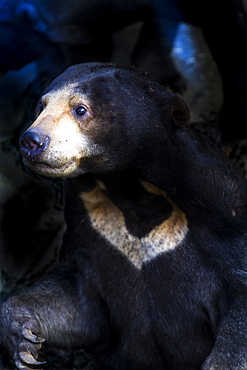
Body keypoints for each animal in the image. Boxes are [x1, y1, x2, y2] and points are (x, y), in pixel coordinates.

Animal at [1, 62, 247, 368]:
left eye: (80, 109)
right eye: (40, 106)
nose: (31, 141)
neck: (129, 191)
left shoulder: (224, 219)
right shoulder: (92, 233)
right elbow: (75, 302)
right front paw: (24, 339)